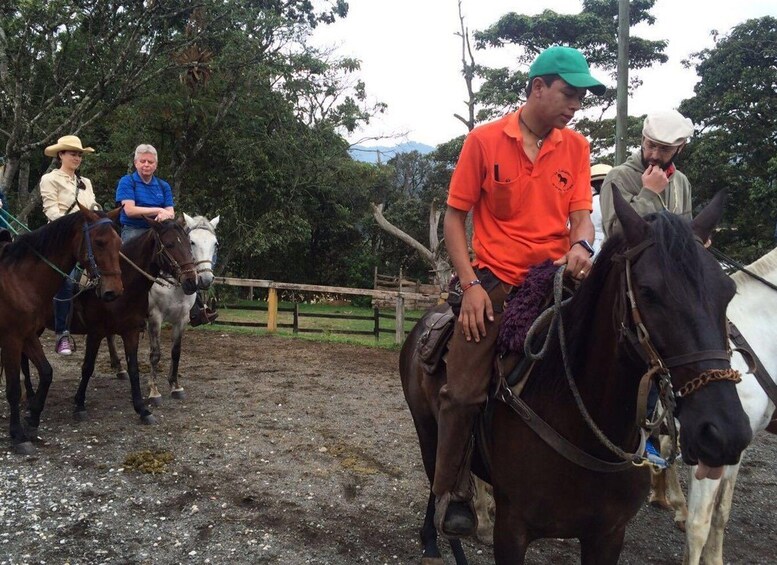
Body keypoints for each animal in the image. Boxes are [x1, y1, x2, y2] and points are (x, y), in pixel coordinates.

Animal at [0, 206, 123, 454]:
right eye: (99, 242)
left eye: (119, 243)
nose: (113, 291)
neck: (18, 280)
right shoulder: (11, 338)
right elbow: (13, 387)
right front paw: (18, 435)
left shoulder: (28, 335)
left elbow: (47, 372)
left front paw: (33, 418)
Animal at [104, 212, 217, 400]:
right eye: (192, 242)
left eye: (215, 243)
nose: (205, 280)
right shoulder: (155, 318)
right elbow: (155, 354)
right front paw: (154, 390)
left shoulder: (182, 319)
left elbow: (176, 351)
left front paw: (175, 385)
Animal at [400, 191, 752, 564]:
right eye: (648, 291)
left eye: (727, 291)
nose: (725, 432)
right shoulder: (512, 530)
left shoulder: (608, 535)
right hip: (427, 429)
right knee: (437, 480)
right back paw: (436, 539)